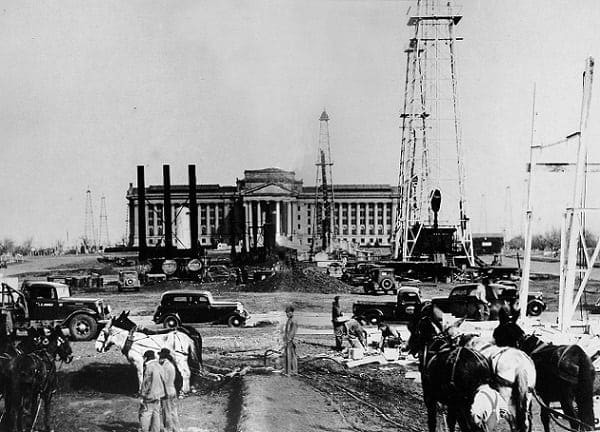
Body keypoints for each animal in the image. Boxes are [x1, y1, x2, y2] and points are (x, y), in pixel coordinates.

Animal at [408, 302, 496, 430]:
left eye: (411, 325)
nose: (409, 346)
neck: (436, 343)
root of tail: (480, 366)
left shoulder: (430, 398)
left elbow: (433, 422)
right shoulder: (451, 405)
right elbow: (450, 422)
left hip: (463, 406)